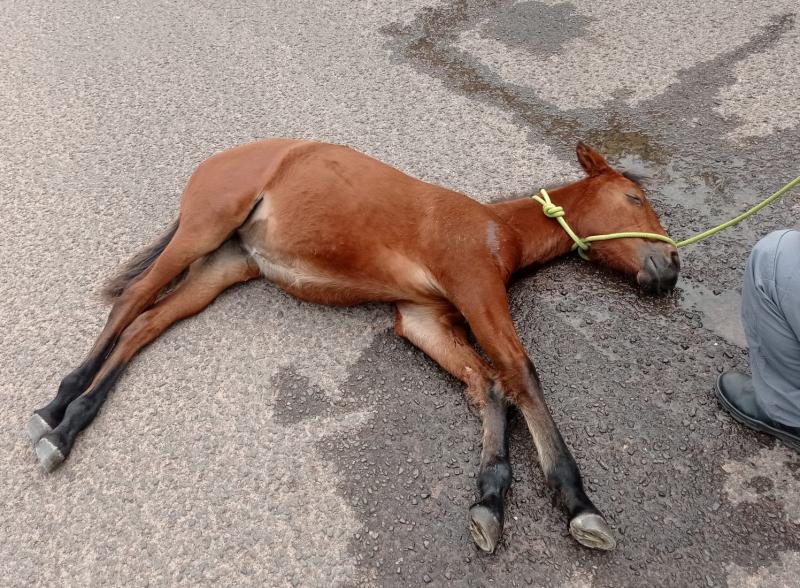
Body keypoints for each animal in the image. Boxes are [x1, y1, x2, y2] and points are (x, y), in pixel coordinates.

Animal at [29, 140, 680, 552]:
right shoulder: (474, 287)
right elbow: (520, 374)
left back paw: (70, 422)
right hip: (203, 230)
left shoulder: (423, 318)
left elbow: (486, 382)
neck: (497, 231)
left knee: (148, 322)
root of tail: (219, 159)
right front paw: (579, 504)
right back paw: (55, 410)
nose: (671, 269)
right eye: (634, 199)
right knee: (132, 301)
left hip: (225, 266)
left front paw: (490, 500)